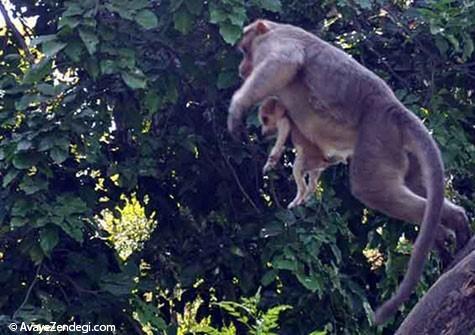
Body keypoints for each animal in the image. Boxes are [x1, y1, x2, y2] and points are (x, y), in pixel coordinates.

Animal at [228, 19, 472, 326]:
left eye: (245, 50)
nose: (242, 68)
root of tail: (395, 109)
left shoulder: (277, 42)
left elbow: (285, 62)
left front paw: (237, 109)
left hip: (377, 135)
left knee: (371, 188)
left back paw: (453, 224)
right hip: (401, 150)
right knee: (418, 186)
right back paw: (446, 230)